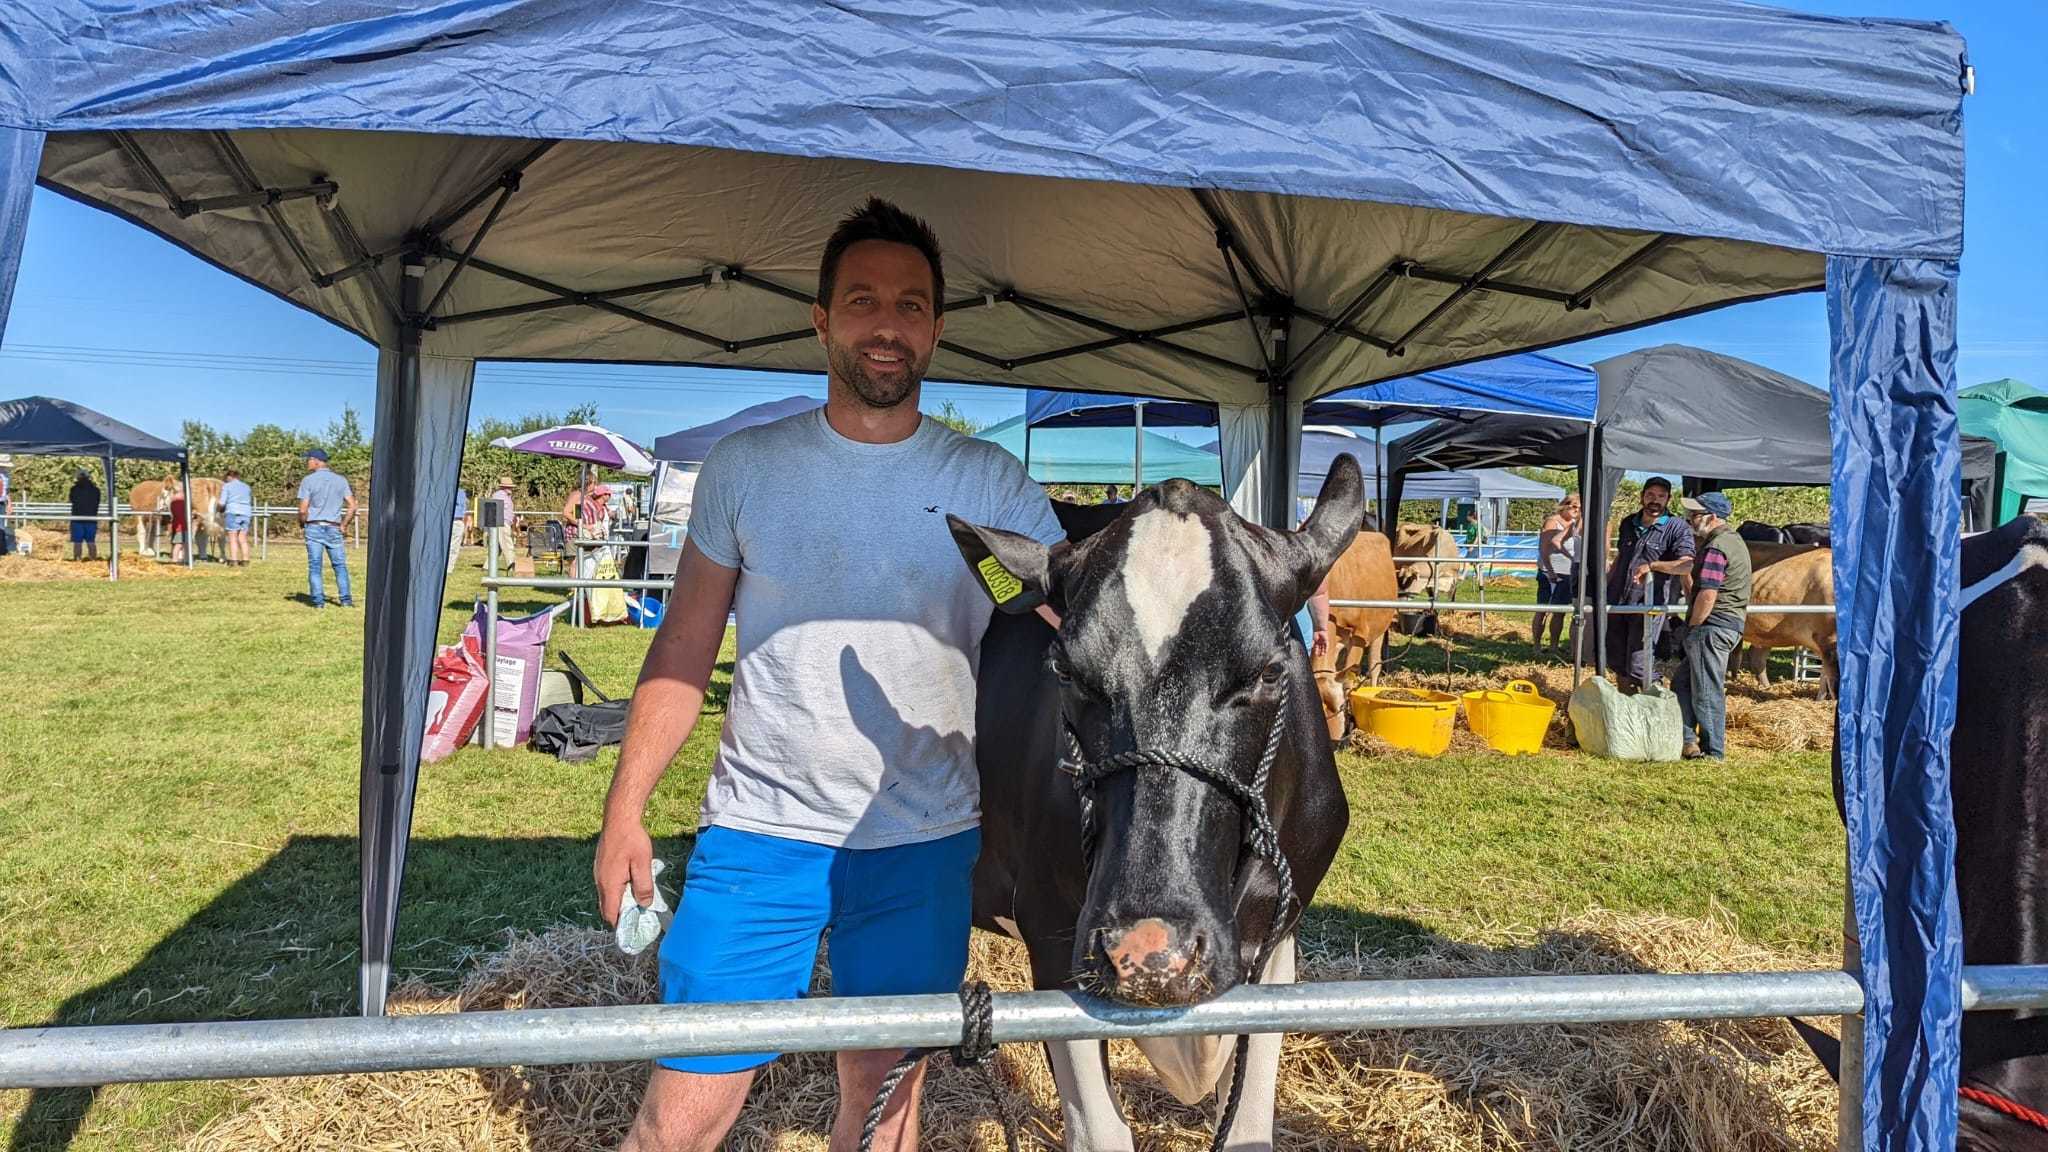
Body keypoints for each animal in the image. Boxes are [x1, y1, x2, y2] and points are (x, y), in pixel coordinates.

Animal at [950, 453, 1368, 1139]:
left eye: (1270, 671)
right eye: (1065, 669)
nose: (1151, 954)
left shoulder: (1278, 937)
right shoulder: (1052, 933)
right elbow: (1101, 1130)